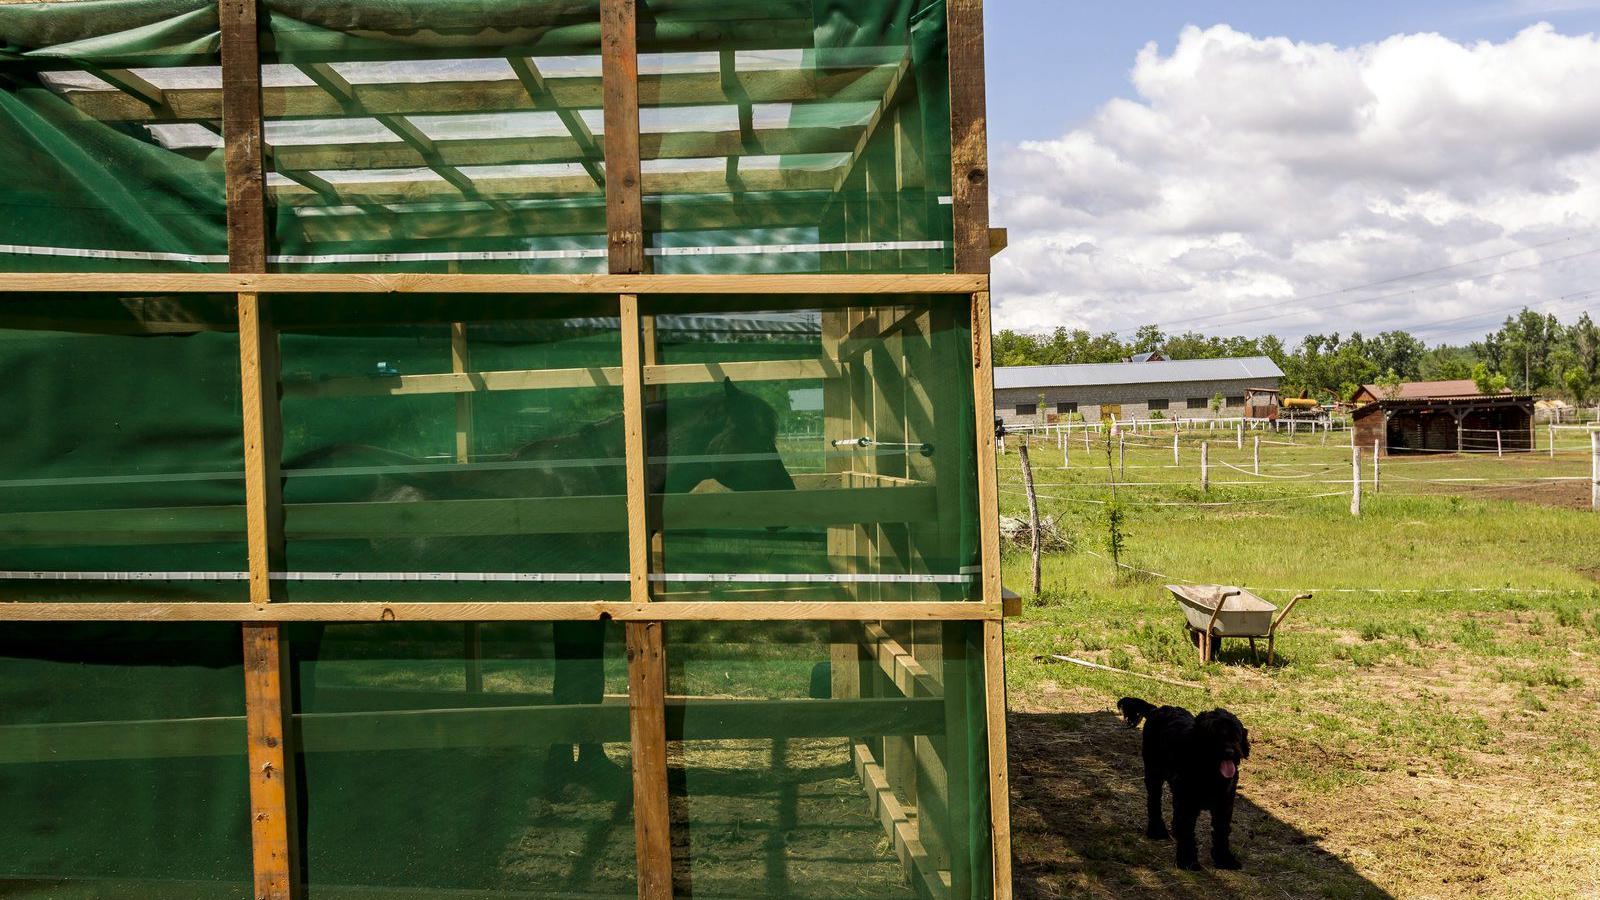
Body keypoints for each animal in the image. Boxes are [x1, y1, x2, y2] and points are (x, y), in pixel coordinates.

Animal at [1120, 698, 1241, 864]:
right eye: (1214, 734)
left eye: (1235, 733)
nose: (1230, 752)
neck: (1209, 774)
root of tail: (1157, 709)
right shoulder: (1188, 803)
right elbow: (1187, 832)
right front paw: (1188, 860)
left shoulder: (1224, 804)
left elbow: (1221, 832)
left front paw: (1224, 859)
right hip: (1153, 774)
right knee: (1154, 802)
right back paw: (1156, 831)